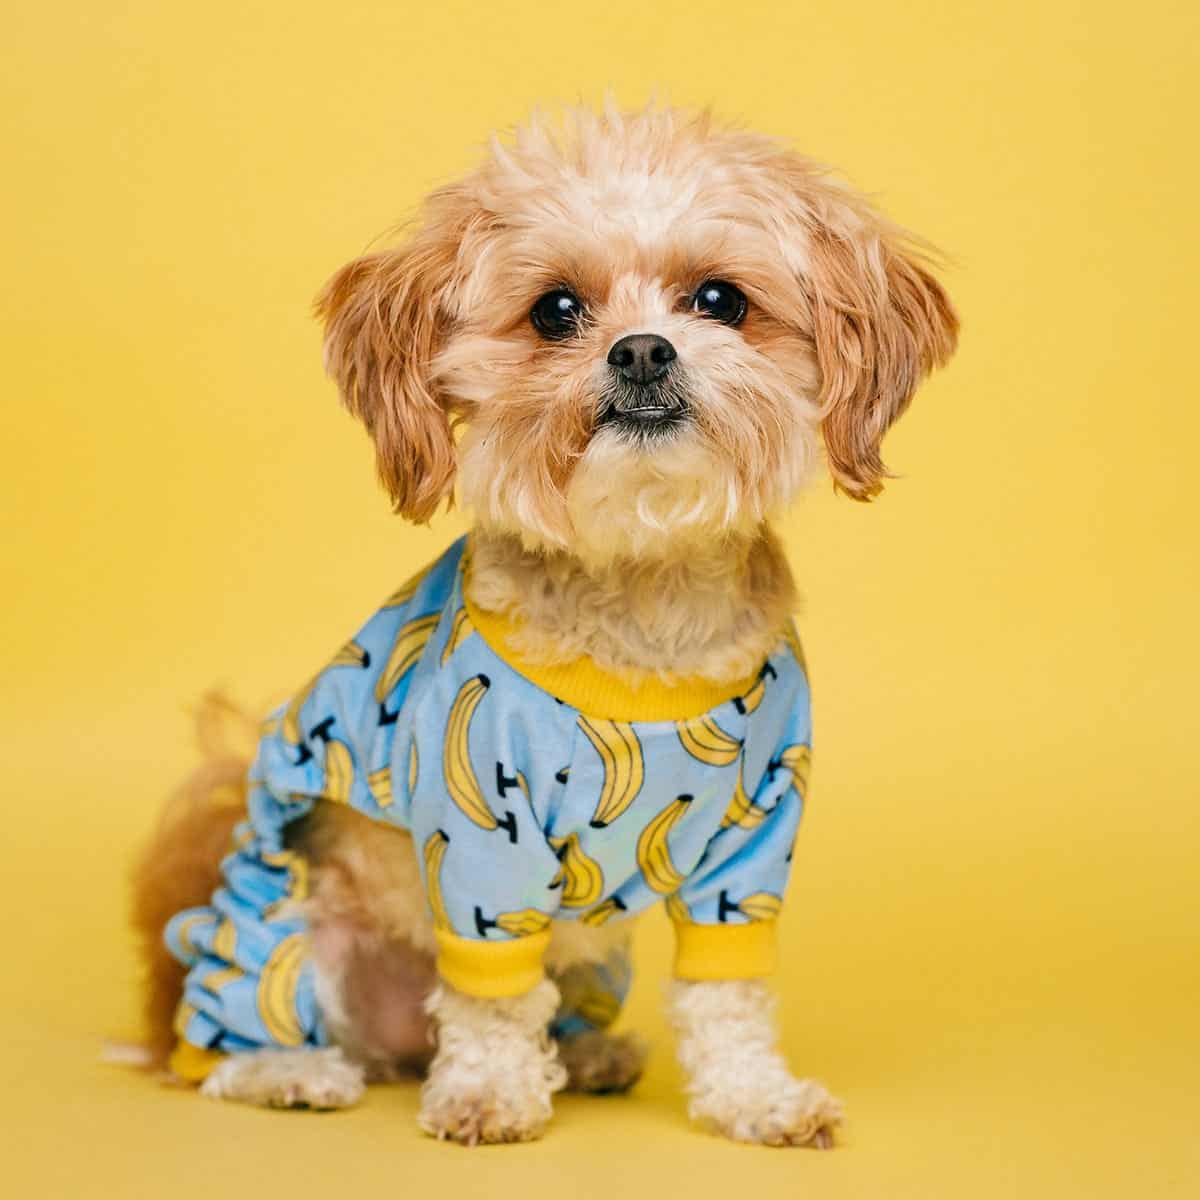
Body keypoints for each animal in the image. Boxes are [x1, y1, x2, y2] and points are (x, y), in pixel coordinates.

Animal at [131, 103, 955, 1142]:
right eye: (556, 311)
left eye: (720, 300)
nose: (641, 349)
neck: (644, 598)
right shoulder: (484, 838)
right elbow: (490, 997)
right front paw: (488, 1094)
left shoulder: (755, 842)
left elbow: (727, 994)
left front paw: (755, 1099)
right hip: (284, 920)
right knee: (227, 1040)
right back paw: (292, 1070)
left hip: (595, 953)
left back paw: (590, 1054)